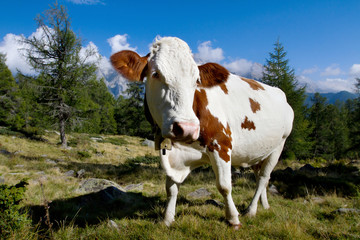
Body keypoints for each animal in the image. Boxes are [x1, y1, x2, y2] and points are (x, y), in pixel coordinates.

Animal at [111, 36, 294, 228]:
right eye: (155, 74)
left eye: (196, 80)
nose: (186, 128)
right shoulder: (173, 153)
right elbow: (171, 187)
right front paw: (167, 218)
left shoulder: (221, 145)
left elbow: (224, 186)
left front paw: (233, 218)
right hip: (258, 151)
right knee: (261, 176)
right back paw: (264, 205)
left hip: (278, 146)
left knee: (264, 177)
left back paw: (251, 210)